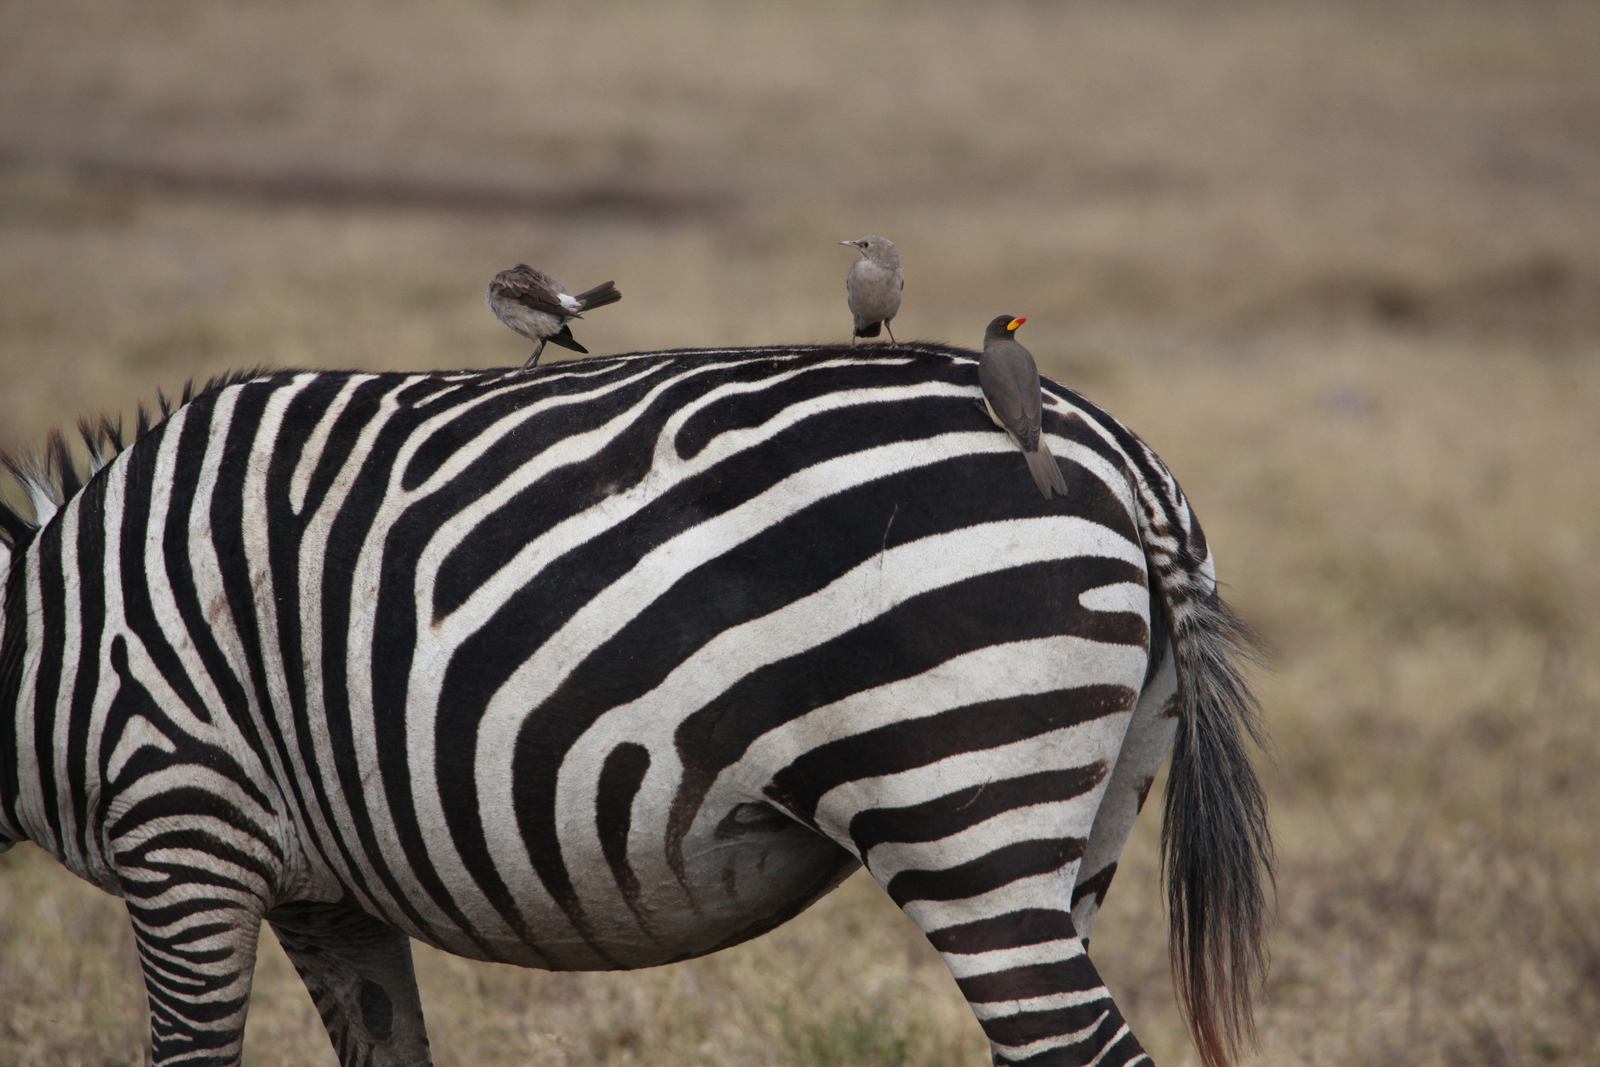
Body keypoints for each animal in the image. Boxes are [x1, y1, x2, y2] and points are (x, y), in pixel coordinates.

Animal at [0, 343, 1273, 1067]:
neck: (45, 636)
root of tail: (1118, 451)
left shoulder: (183, 822)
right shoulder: (327, 890)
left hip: (961, 805)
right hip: (1085, 808)